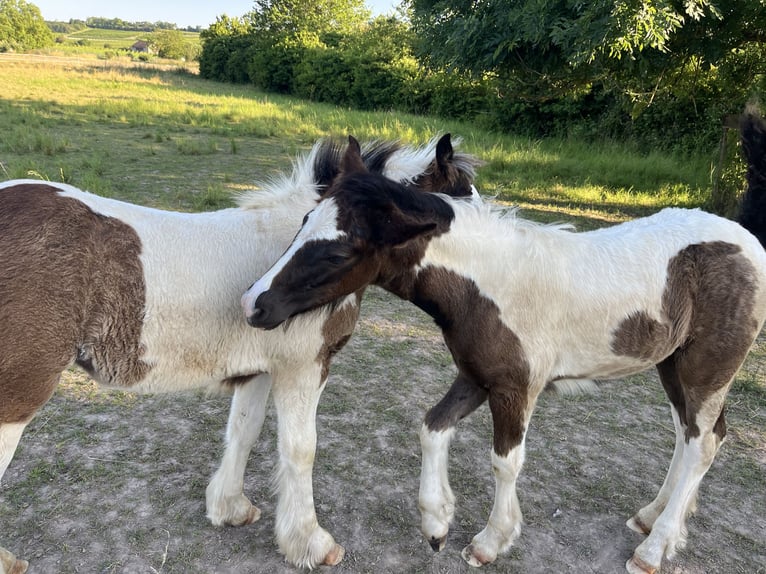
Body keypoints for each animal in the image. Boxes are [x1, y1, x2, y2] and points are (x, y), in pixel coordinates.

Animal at [0, 136, 480, 574]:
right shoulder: (304, 368)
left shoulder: (259, 370)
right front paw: (311, 543)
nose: (254, 304)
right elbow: (301, 449)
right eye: (463, 208)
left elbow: (243, 431)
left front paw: (230, 508)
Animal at [243, 112, 766, 574]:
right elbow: (432, 427)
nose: (253, 304)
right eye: (305, 218)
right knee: (691, 434)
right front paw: (437, 524)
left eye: (338, 251)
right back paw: (652, 518)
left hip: (708, 369)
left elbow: (505, 463)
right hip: (672, 364)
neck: (492, 281)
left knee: (702, 444)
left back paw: (654, 549)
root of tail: (746, 238)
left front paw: (490, 542)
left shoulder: (517, 388)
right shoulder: (477, 376)